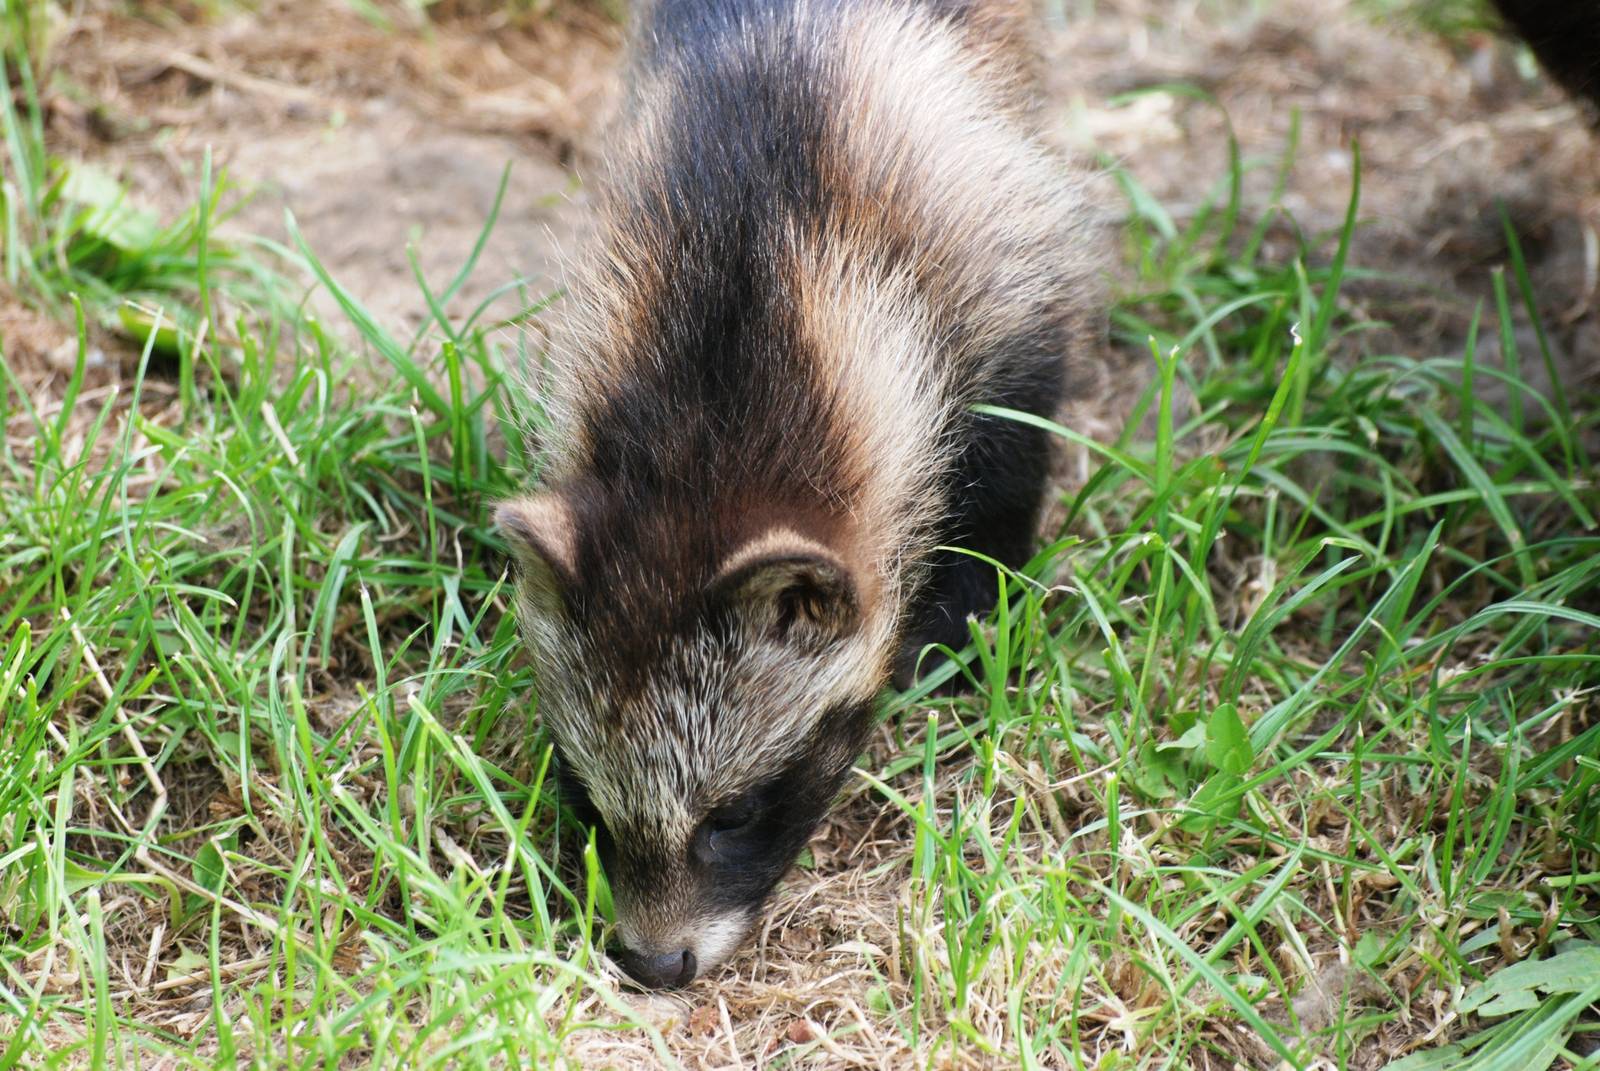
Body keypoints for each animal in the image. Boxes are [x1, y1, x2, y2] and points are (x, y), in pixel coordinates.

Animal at [496, 0, 1099, 988]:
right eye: (587, 797)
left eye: (734, 812)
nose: (654, 965)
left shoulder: (990, 254)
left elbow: (1013, 435)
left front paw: (971, 620)